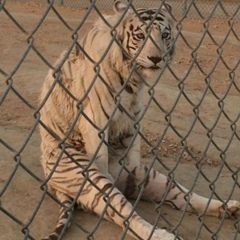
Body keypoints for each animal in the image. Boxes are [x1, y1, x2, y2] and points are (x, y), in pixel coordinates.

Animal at [38, 0, 239, 239]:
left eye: (165, 35)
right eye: (140, 36)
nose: (156, 59)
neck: (132, 77)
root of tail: (50, 179)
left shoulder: (133, 120)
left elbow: (133, 149)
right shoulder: (96, 122)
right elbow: (101, 156)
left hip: (152, 176)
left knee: (183, 197)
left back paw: (228, 207)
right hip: (87, 176)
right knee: (127, 216)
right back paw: (163, 234)